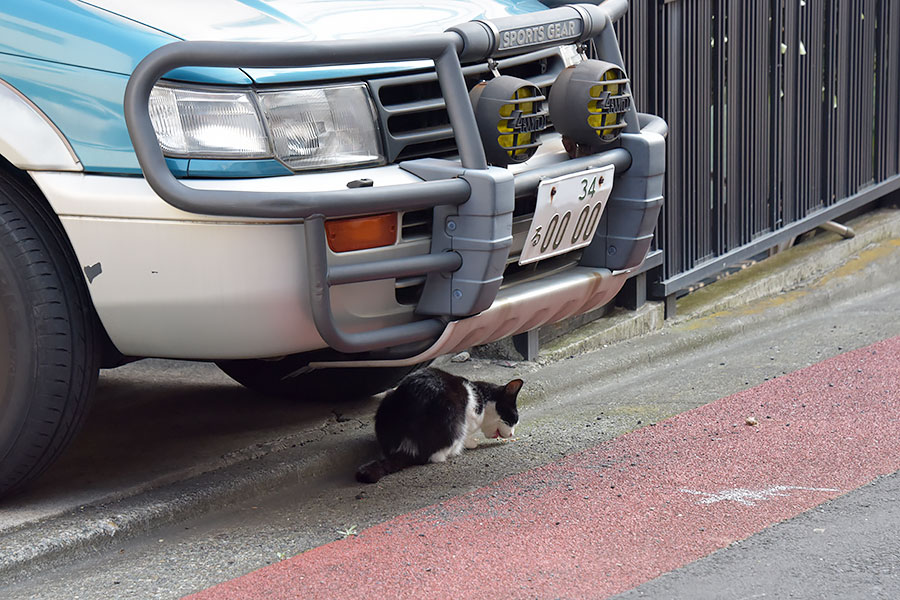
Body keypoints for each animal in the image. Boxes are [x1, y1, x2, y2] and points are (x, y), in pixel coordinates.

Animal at [356, 366, 524, 482]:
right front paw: (471, 442)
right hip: (452, 414)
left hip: (387, 400)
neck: (481, 396)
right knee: (437, 455)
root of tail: (408, 445)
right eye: (513, 419)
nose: (512, 434)